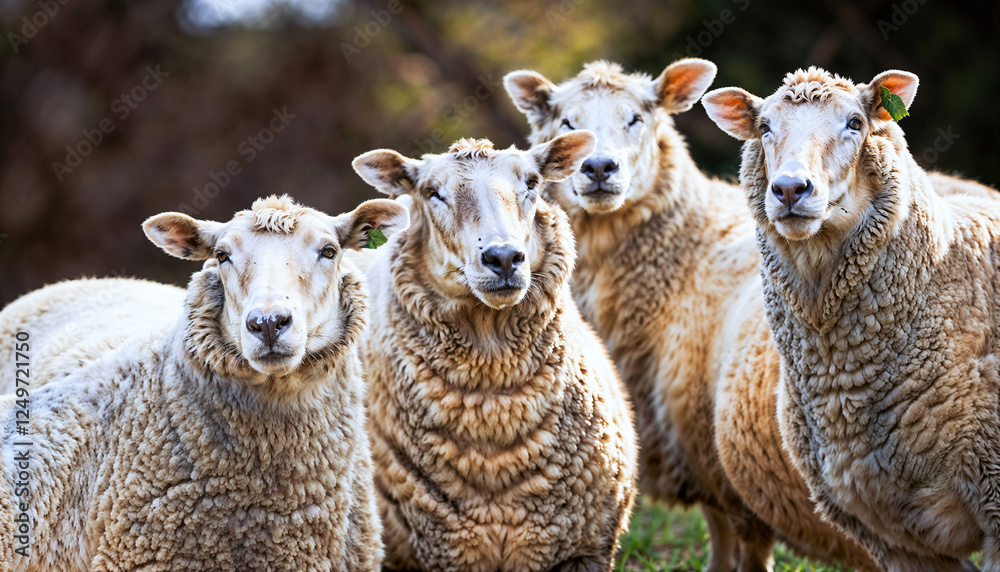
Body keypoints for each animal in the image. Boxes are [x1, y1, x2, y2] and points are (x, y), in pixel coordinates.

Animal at [504, 58, 883, 571]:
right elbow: (718, 533)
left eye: (637, 118)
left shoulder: (719, 463)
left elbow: (741, 543)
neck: (686, 253)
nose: (599, 167)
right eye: (567, 121)